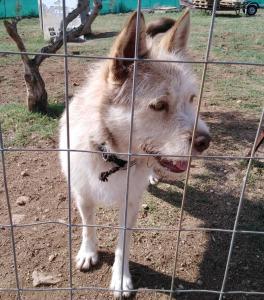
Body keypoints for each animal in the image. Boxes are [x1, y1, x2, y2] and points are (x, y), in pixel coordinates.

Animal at [59, 9, 210, 298]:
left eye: (191, 99)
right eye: (159, 105)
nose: (206, 142)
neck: (111, 156)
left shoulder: (130, 203)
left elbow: (123, 242)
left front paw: (120, 278)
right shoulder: (82, 194)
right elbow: (87, 225)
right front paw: (88, 252)